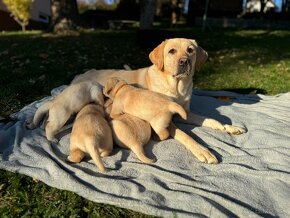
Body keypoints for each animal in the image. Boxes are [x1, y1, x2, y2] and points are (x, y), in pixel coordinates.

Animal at [71, 38, 246, 164]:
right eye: (171, 51)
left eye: (190, 50)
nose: (184, 61)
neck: (176, 88)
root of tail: (79, 75)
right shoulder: (171, 121)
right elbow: (186, 135)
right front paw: (203, 151)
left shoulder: (185, 112)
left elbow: (211, 120)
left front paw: (229, 127)